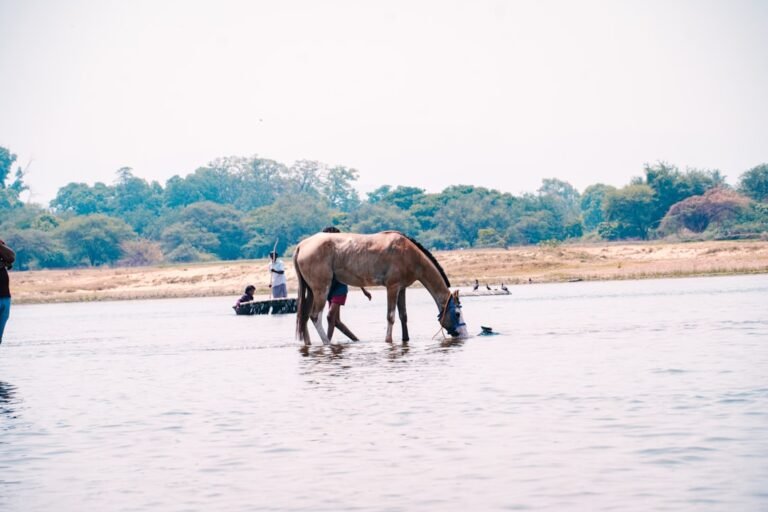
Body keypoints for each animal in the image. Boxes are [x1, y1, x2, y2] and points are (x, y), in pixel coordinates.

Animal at [293, 231, 468, 345]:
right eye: (457, 314)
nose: (464, 335)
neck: (409, 253)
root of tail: (302, 245)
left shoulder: (402, 289)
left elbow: (403, 316)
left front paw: (405, 340)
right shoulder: (392, 287)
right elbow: (390, 316)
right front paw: (388, 341)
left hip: (311, 291)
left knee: (304, 315)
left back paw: (308, 343)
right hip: (321, 290)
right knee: (315, 316)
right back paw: (326, 342)